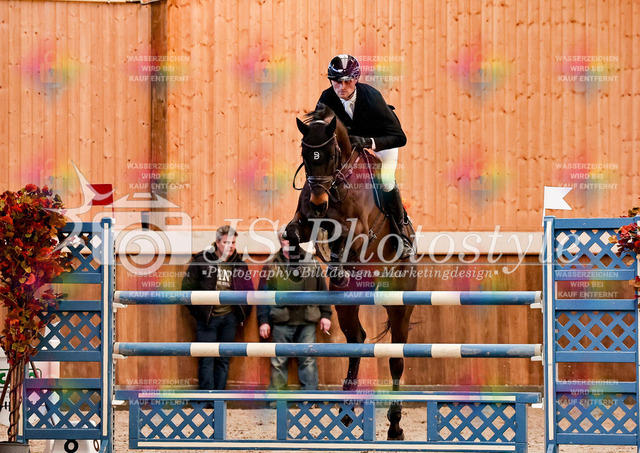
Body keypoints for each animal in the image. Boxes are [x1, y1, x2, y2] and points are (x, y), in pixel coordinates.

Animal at [285, 103, 417, 441]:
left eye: (331, 154)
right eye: (305, 154)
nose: (319, 203)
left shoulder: (360, 231)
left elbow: (348, 238)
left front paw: (337, 264)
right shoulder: (305, 219)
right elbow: (293, 232)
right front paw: (299, 256)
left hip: (400, 302)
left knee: (396, 358)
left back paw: (395, 426)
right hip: (347, 304)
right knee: (356, 338)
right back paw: (346, 411)